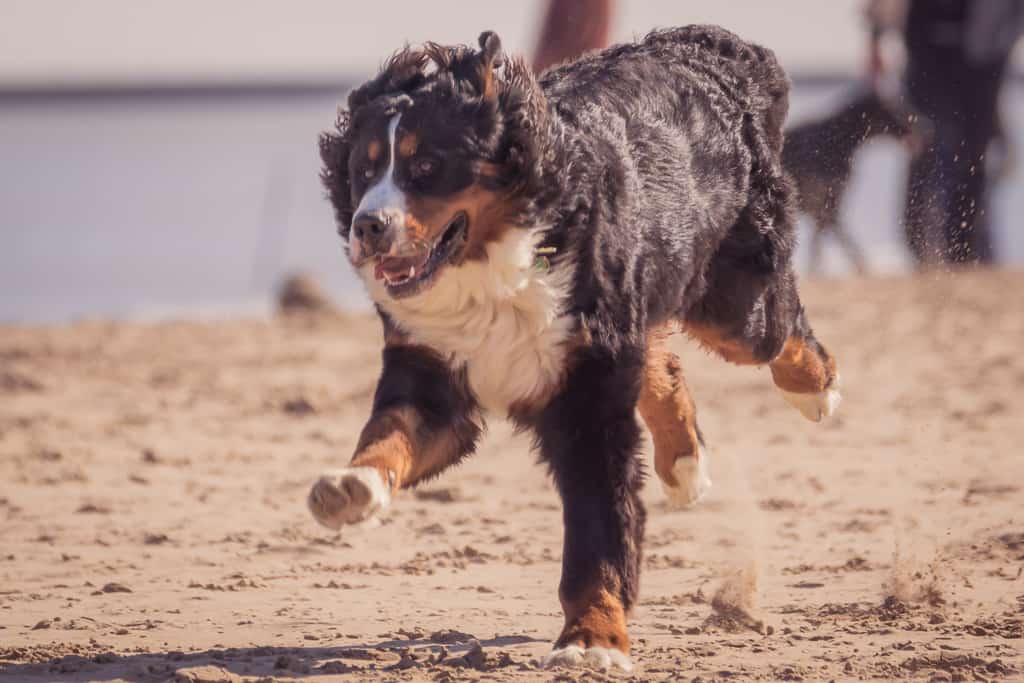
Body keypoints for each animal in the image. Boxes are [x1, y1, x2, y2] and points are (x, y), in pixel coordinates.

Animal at [309, 26, 839, 671]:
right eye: (361, 171)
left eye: (427, 165)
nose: (367, 226)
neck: (491, 275)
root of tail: (713, 47)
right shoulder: (433, 376)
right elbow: (388, 436)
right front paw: (351, 488)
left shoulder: (589, 398)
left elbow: (597, 536)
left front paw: (592, 638)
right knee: (661, 360)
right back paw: (684, 464)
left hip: (734, 308)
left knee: (782, 336)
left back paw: (815, 392)